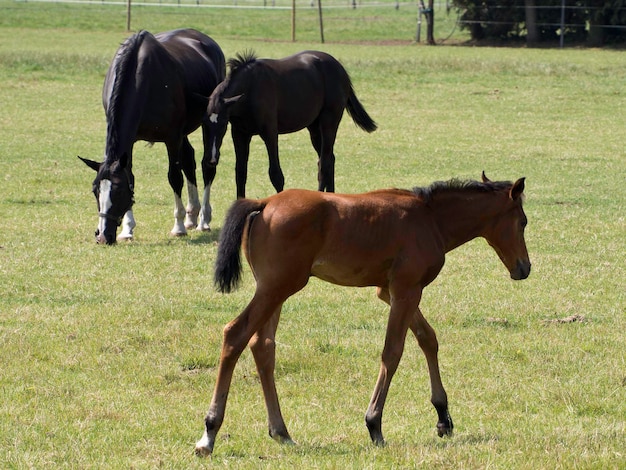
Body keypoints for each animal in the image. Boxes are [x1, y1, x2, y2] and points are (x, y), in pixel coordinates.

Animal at [77, 29, 224, 244]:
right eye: (95, 190)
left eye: (118, 191)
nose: (103, 236)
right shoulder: (130, 142)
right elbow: (131, 175)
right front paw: (127, 229)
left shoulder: (172, 138)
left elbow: (174, 178)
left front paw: (178, 226)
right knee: (189, 160)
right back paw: (192, 216)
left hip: (209, 123)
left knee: (208, 165)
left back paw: (203, 219)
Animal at [194, 173, 528, 456]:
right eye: (523, 222)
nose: (524, 268)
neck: (431, 219)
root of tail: (263, 203)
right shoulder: (406, 290)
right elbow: (393, 351)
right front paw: (374, 424)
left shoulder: (391, 291)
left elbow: (427, 339)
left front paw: (443, 417)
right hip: (276, 288)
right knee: (235, 334)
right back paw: (209, 434)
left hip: (275, 290)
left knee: (262, 347)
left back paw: (281, 432)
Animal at [202, 49, 376, 198]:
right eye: (204, 125)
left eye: (223, 124)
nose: (211, 158)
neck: (250, 89)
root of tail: (340, 69)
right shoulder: (240, 134)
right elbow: (240, 172)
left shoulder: (270, 133)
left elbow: (275, 174)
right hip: (314, 128)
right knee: (329, 158)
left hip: (329, 122)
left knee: (324, 163)